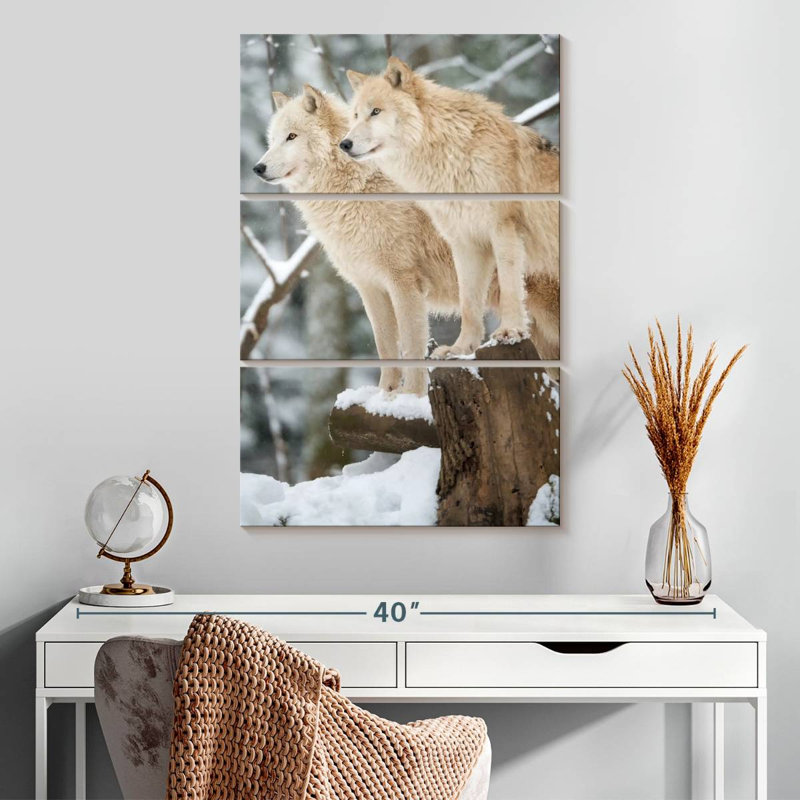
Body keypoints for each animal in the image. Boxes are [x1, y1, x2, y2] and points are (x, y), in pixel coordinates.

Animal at [342, 58, 560, 359]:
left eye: (375, 111)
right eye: (354, 115)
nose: (344, 144)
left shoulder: (503, 228)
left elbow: (510, 286)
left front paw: (511, 331)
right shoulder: (465, 241)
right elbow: (468, 302)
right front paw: (461, 348)